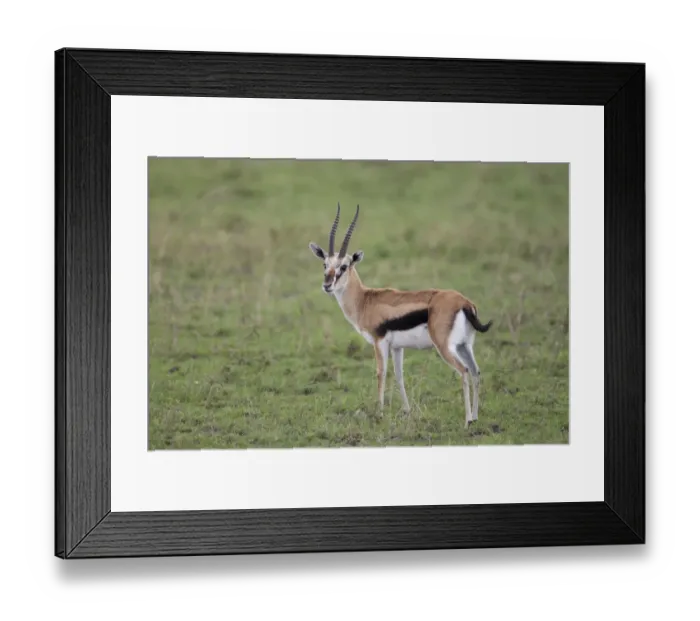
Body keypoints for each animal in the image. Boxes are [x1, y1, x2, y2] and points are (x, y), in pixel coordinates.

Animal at [308, 203, 493, 428]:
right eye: (325, 264)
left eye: (344, 266)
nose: (327, 285)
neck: (365, 300)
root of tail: (464, 303)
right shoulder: (397, 347)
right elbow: (399, 376)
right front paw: (407, 411)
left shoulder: (379, 341)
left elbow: (381, 373)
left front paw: (379, 414)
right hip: (465, 345)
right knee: (475, 371)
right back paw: (475, 417)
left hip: (445, 347)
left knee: (464, 371)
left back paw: (466, 420)